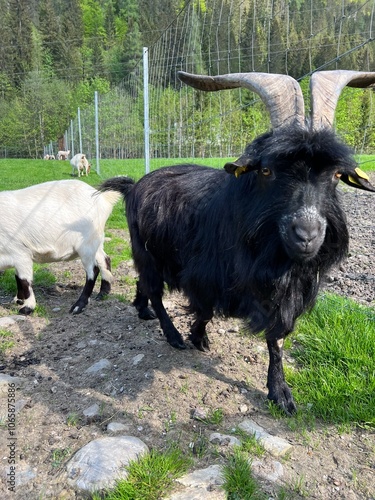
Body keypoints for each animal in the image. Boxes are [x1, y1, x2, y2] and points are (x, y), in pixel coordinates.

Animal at [0, 179, 122, 312]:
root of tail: (104, 199)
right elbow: (17, 277)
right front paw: (18, 300)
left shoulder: (20, 252)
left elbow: (24, 280)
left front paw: (27, 307)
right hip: (95, 241)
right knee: (105, 260)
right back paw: (103, 293)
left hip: (86, 244)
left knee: (93, 270)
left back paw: (78, 306)